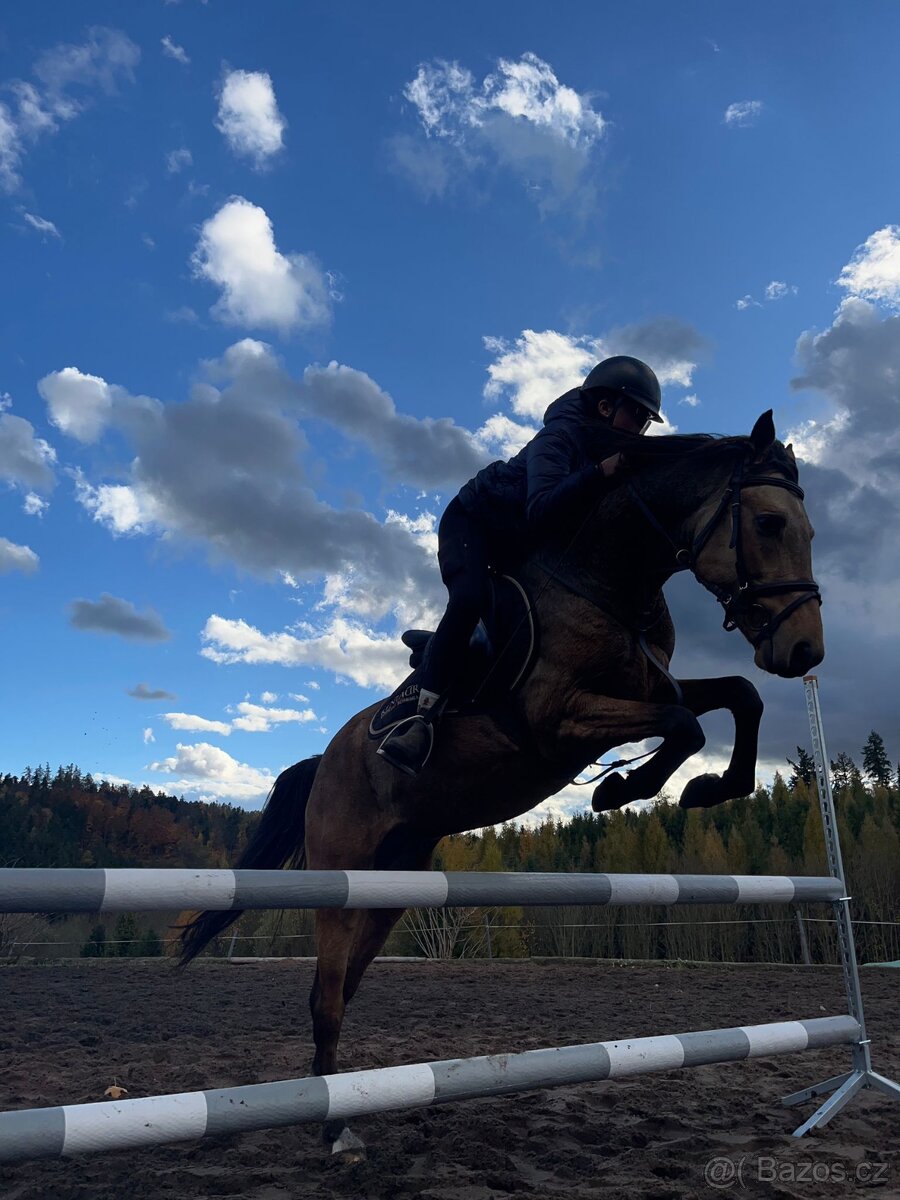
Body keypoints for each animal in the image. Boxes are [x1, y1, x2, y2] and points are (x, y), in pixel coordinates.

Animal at [177, 410, 823, 1155]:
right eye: (770, 524)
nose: (805, 650)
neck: (605, 582)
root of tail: (325, 761)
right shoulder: (559, 721)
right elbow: (686, 724)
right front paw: (622, 790)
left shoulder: (644, 688)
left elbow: (738, 696)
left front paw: (708, 789)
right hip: (339, 876)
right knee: (326, 998)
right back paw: (335, 1130)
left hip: (389, 884)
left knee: (342, 990)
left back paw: (332, 1110)